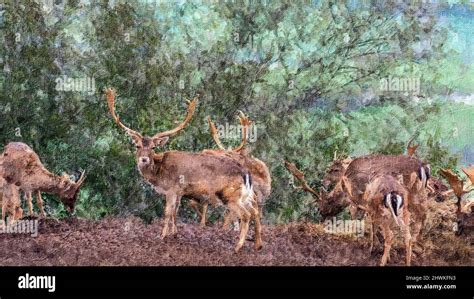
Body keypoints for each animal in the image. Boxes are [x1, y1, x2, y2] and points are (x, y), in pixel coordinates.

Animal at [104, 88, 260, 252]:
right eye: (137, 146)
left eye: (153, 147)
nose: (144, 159)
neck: (159, 173)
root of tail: (245, 174)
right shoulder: (179, 192)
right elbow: (175, 211)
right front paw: (174, 234)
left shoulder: (172, 188)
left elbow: (167, 212)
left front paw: (162, 236)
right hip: (245, 195)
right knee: (254, 211)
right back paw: (257, 244)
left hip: (230, 194)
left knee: (246, 214)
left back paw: (237, 247)